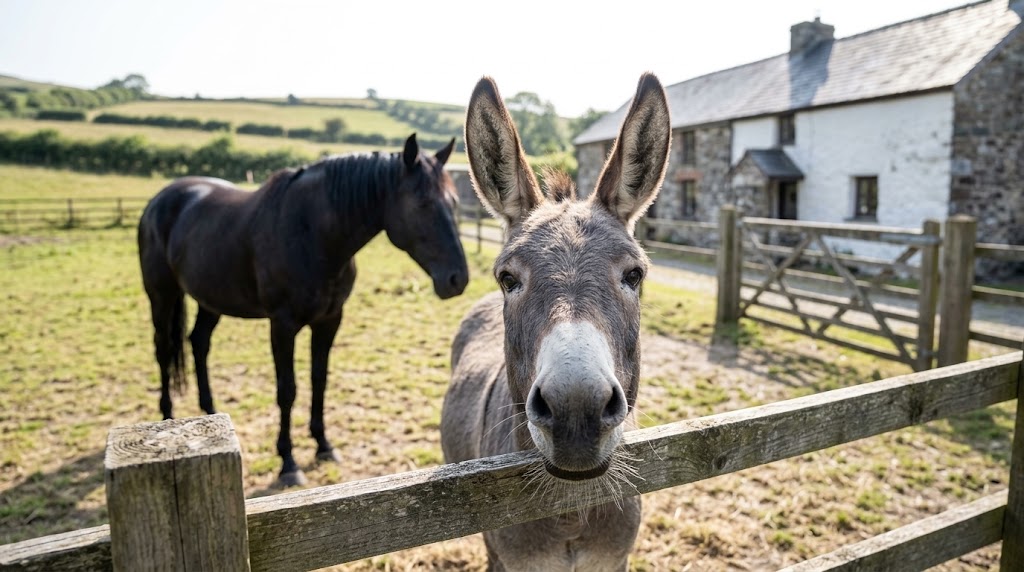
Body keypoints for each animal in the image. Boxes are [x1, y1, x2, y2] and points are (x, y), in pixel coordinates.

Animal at [139, 134, 469, 487]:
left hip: (210, 299)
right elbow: (288, 390)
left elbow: (319, 380)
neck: (314, 235)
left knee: (198, 343)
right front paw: (288, 462)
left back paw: (210, 411)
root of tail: (160, 199)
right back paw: (167, 417)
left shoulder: (329, 320)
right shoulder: (282, 325)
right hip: (161, 296)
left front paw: (323, 445)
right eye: (422, 204)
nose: (457, 279)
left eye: (454, 203)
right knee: (163, 349)